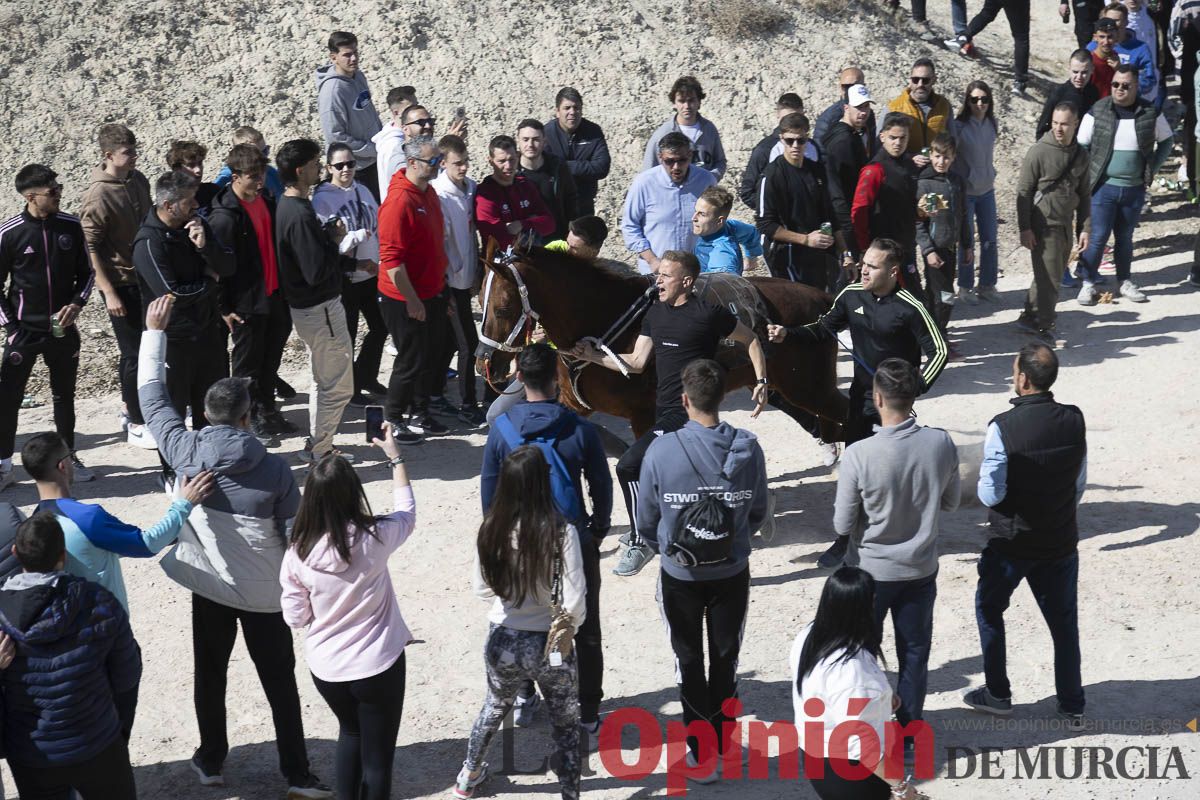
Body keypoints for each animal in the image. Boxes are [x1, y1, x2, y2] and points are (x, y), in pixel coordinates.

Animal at [472, 245, 849, 441]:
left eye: (503, 307)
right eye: (479, 300)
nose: (483, 361)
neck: (605, 319)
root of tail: (824, 299)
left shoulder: (643, 416)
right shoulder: (572, 405)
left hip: (809, 387)